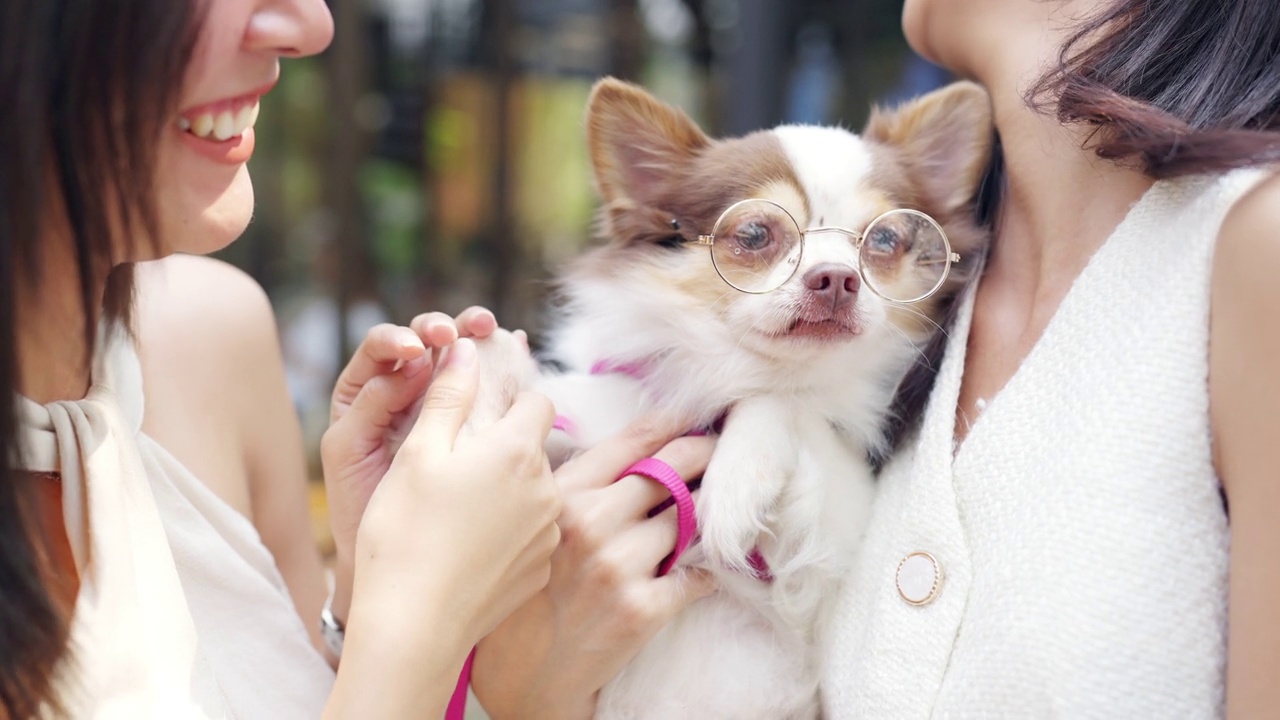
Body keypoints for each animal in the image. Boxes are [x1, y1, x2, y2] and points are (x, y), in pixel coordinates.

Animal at [465, 79, 993, 717]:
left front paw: (737, 480)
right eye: (755, 235)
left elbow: (779, 405)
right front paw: (459, 361)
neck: (731, 373)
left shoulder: (819, 569)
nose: (836, 278)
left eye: (885, 239)